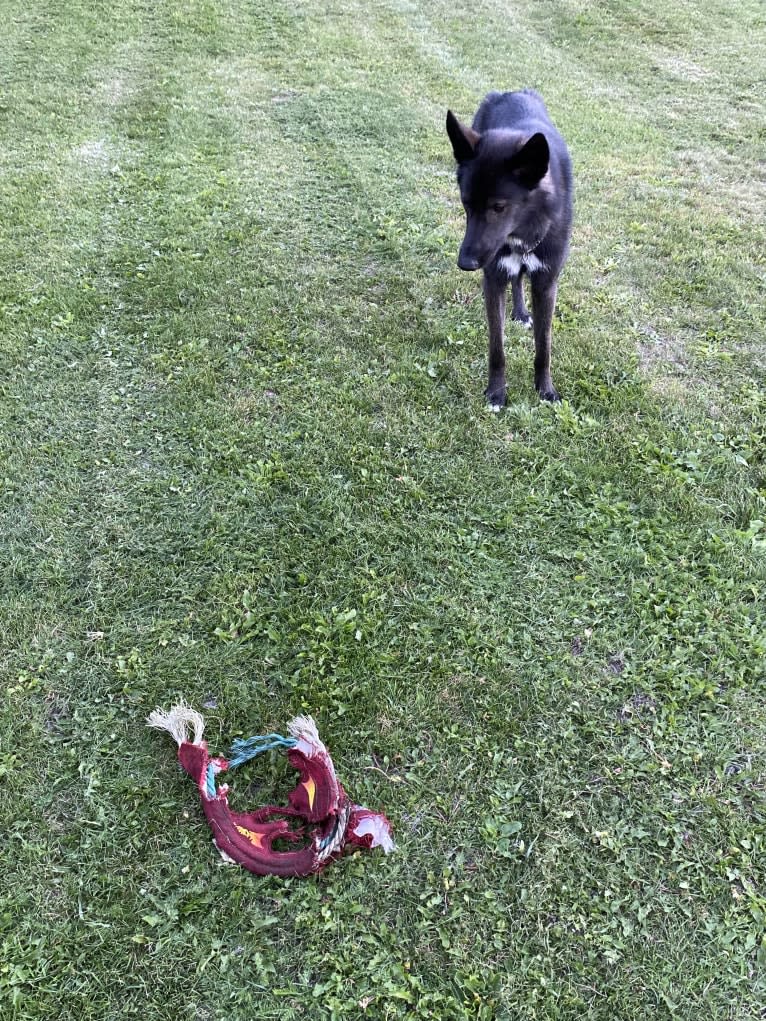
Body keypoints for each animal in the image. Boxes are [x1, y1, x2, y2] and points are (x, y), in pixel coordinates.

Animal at [447, 90, 571, 402]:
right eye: (466, 203)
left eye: (499, 207)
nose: (465, 263)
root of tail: (509, 93)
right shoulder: (493, 279)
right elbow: (497, 347)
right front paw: (496, 392)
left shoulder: (546, 284)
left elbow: (544, 346)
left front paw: (545, 389)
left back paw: (522, 313)